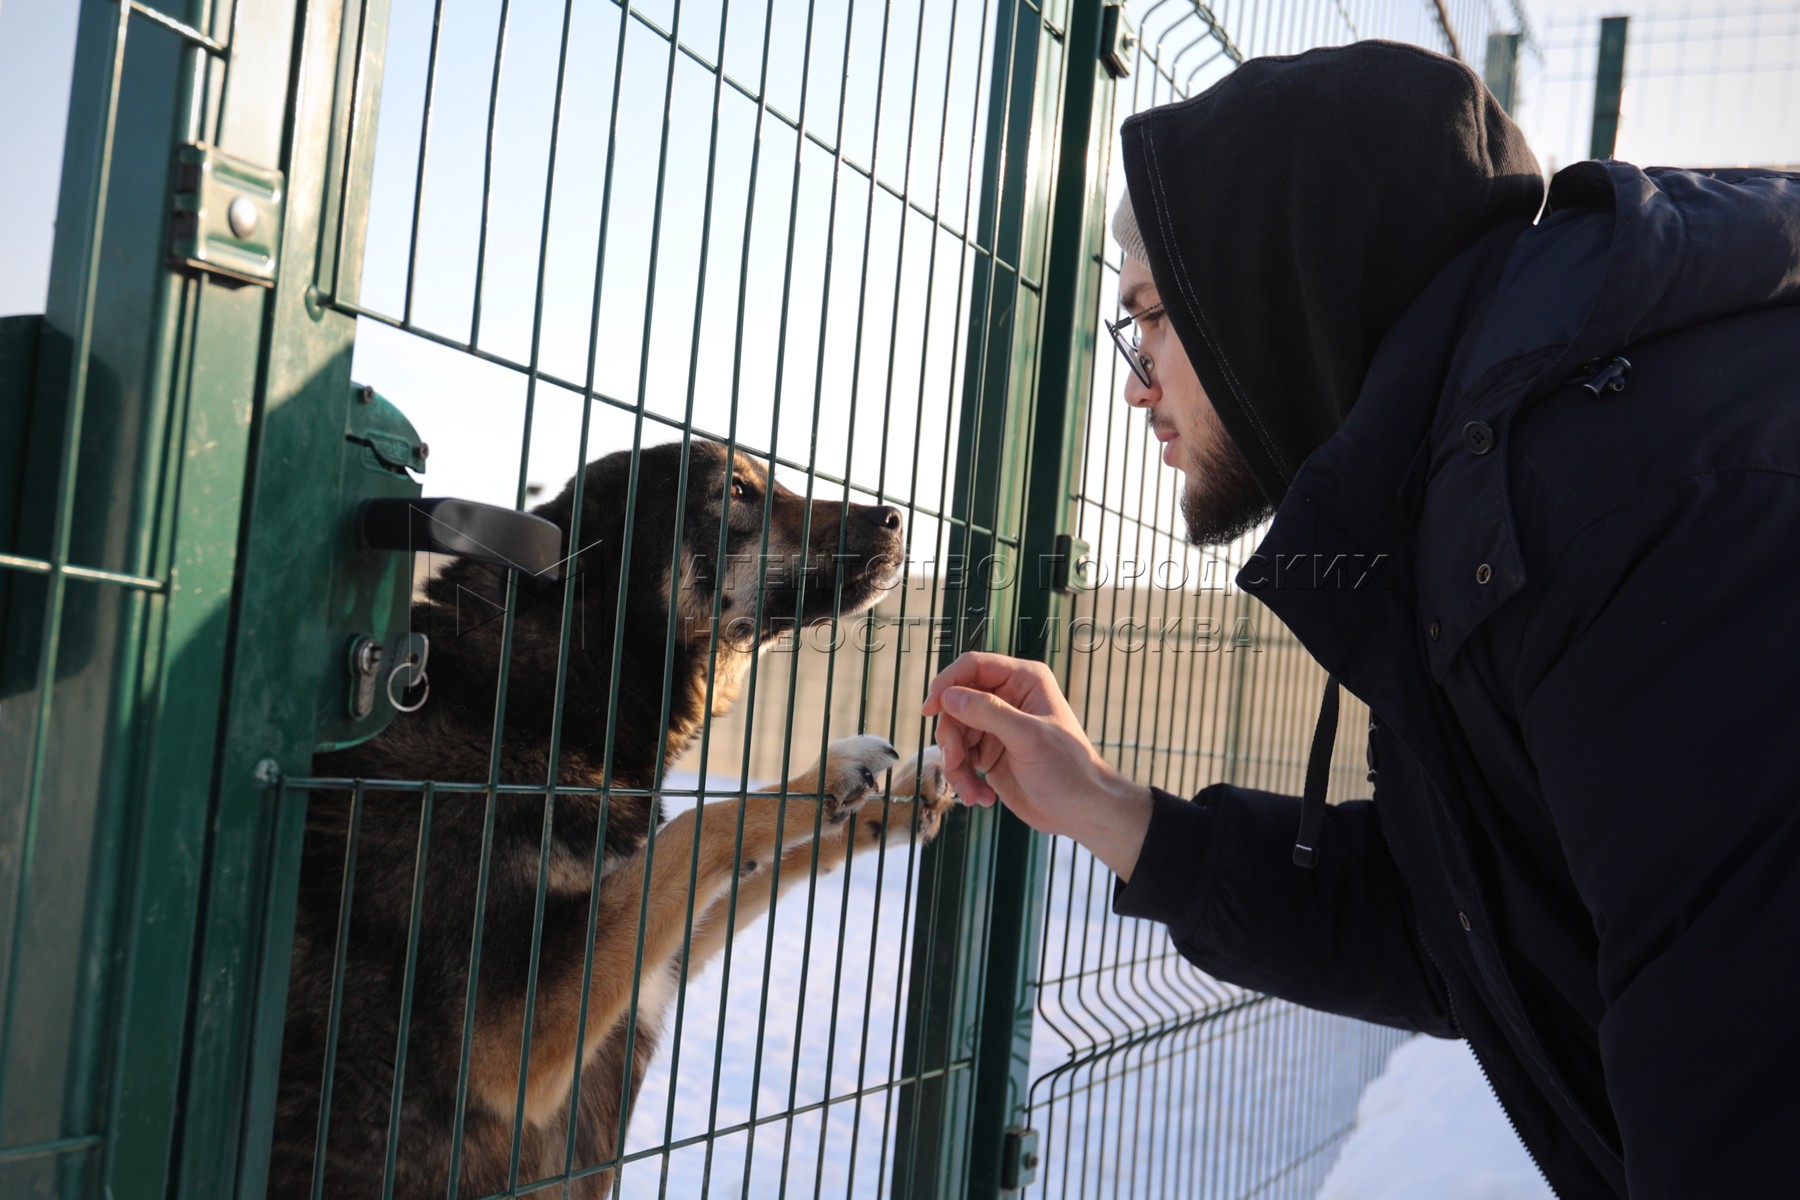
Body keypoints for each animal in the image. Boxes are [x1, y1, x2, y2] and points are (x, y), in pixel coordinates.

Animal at [273, 440, 957, 1200]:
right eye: (738, 491)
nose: (896, 518)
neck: (542, 707)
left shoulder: (657, 963)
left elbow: (746, 862)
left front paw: (900, 802)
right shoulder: (513, 1042)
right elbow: (699, 824)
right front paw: (824, 775)